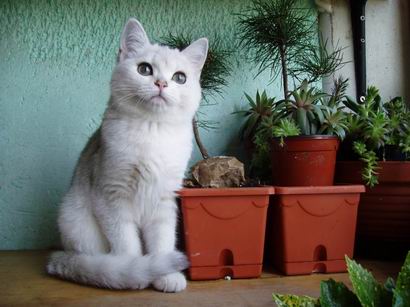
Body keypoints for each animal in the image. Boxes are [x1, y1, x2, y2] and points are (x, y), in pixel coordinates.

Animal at [46, 17, 208, 294]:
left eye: (180, 77)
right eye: (144, 69)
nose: (162, 83)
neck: (153, 131)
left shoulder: (164, 201)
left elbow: (163, 241)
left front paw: (166, 275)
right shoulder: (112, 196)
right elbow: (127, 244)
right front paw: (134, 272)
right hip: (75, 221)